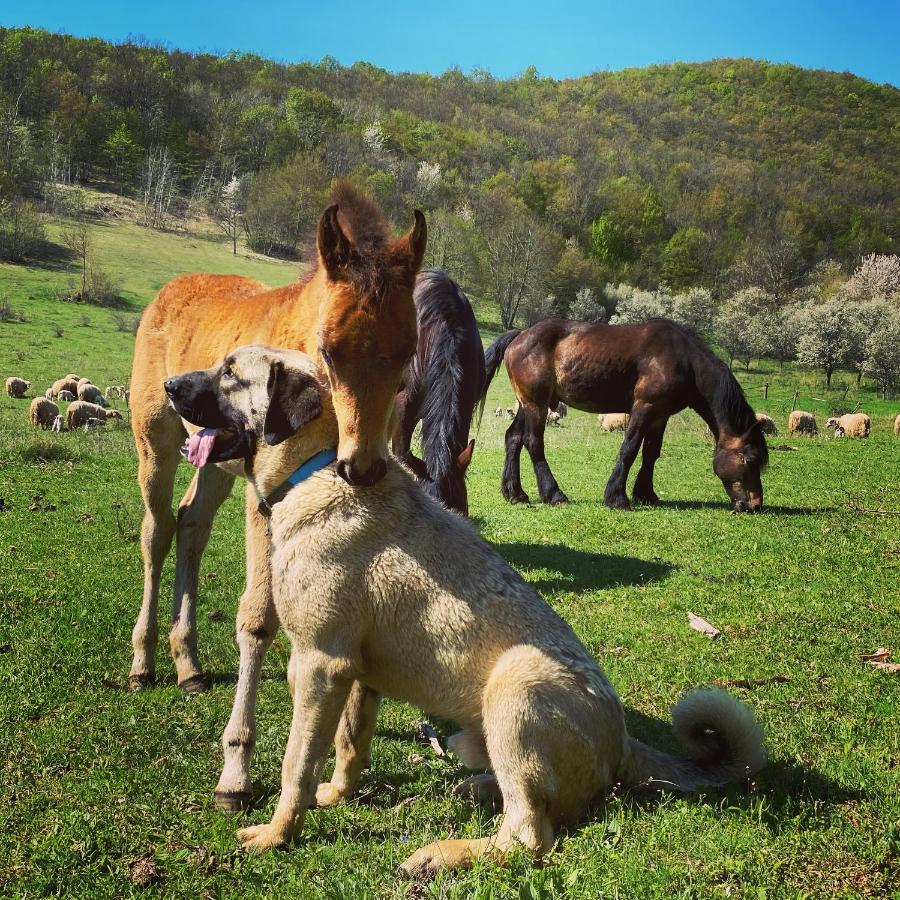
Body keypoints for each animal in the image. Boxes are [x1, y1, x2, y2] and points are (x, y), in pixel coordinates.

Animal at [167, 342, 768, 872]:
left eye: (229, 373)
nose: (169, 385)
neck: (314, 469)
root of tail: (623, 743)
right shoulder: (359, 672)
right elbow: (349, 742)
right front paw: (336, 793)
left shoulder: (320, 662)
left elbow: (297, 762)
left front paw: (278, 832)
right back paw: (481, 789)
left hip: (517, 682)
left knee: (528, 836)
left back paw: (445, 852)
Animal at [482, 320, 768, 510]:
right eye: (748, 460)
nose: (754, 504)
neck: (683, 360)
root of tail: (521, 335)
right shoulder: (644, 408)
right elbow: (629, 449)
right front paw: (617, 497)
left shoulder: (660, 414)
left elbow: (651, 453)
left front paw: (646, 493)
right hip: (536, 405)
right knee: (533, 443)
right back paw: (553, 494)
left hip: (527, 404)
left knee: (513, 439)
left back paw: (516, 494)